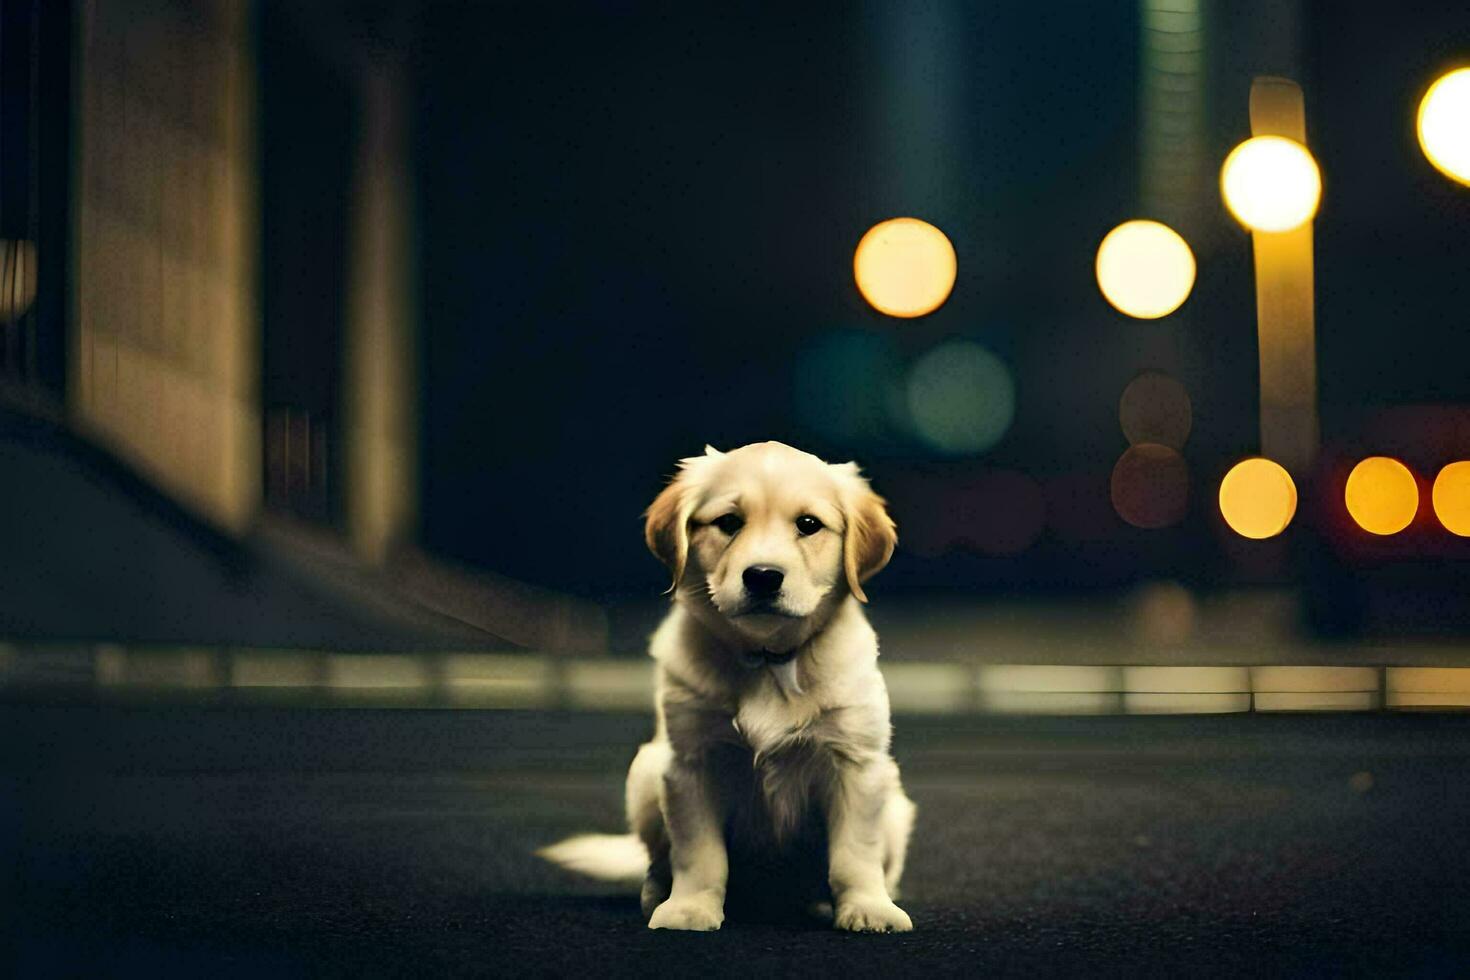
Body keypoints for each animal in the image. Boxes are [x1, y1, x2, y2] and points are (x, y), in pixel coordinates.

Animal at [540, 443, 911, 934]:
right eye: (729, 522)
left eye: (808, 524)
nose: (764, 576)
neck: (767, 657)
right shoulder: (690, 763)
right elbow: (699, 853)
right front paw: (690, 908)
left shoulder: (857, 763)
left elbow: (854, 853)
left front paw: (868, 907)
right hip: (644, 775)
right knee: (658, 859)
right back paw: (656, 892)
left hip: (897, 805)